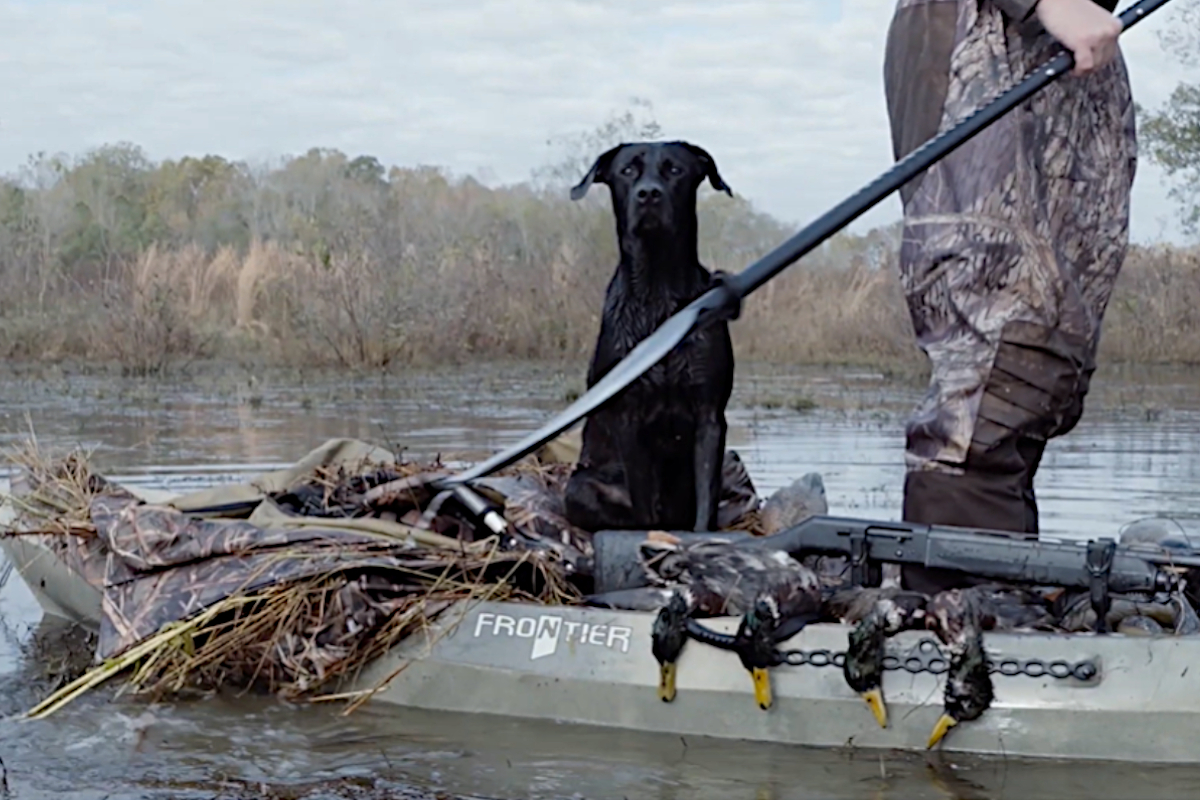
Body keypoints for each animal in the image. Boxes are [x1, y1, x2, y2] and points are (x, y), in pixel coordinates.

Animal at [564, 140, 739, 534]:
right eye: (628, 170)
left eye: (675, 170)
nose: (648, 194)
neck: (658, 294)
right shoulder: (629, 418)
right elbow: (643, 505)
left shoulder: (709, 415)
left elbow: (705, 503)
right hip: (578, 487)